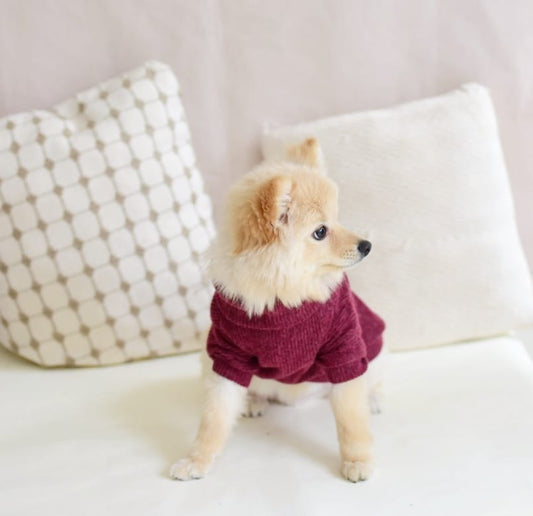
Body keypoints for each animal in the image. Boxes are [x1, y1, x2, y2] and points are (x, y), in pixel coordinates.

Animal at [170, 138, 385, 483]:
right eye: (320, 232)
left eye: (339, 219)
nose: (366, 245)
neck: (283, 297)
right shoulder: (227, 355)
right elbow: (213, 419)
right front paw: (196, 460)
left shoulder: (345, 346)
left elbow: (351, 418)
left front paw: (358, 460)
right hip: (207, 357)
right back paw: (253, 399)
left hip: (376, 350)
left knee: (372, 379)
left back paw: (373, 398)